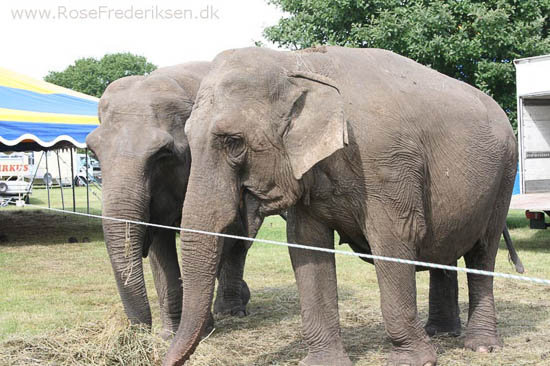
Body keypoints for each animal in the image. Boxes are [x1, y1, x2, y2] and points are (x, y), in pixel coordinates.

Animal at [85, 63, 258, 340]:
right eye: (92, 152)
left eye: (162, 154)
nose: (135, 333)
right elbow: (160, 244)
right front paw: (169, 335)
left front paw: (203, 328)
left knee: (240, 239)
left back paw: (232, 309)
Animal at [166, 46, 520, 366]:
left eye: (233, 142)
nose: (164, 358)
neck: (299, 63)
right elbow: (307, 246)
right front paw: (323, 362)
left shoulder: (386, 164)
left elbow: (394, 239)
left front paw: (412, 361)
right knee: (444, 250)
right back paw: (441, 333)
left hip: (504, 175)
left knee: (482, 253)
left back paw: (481, 346)